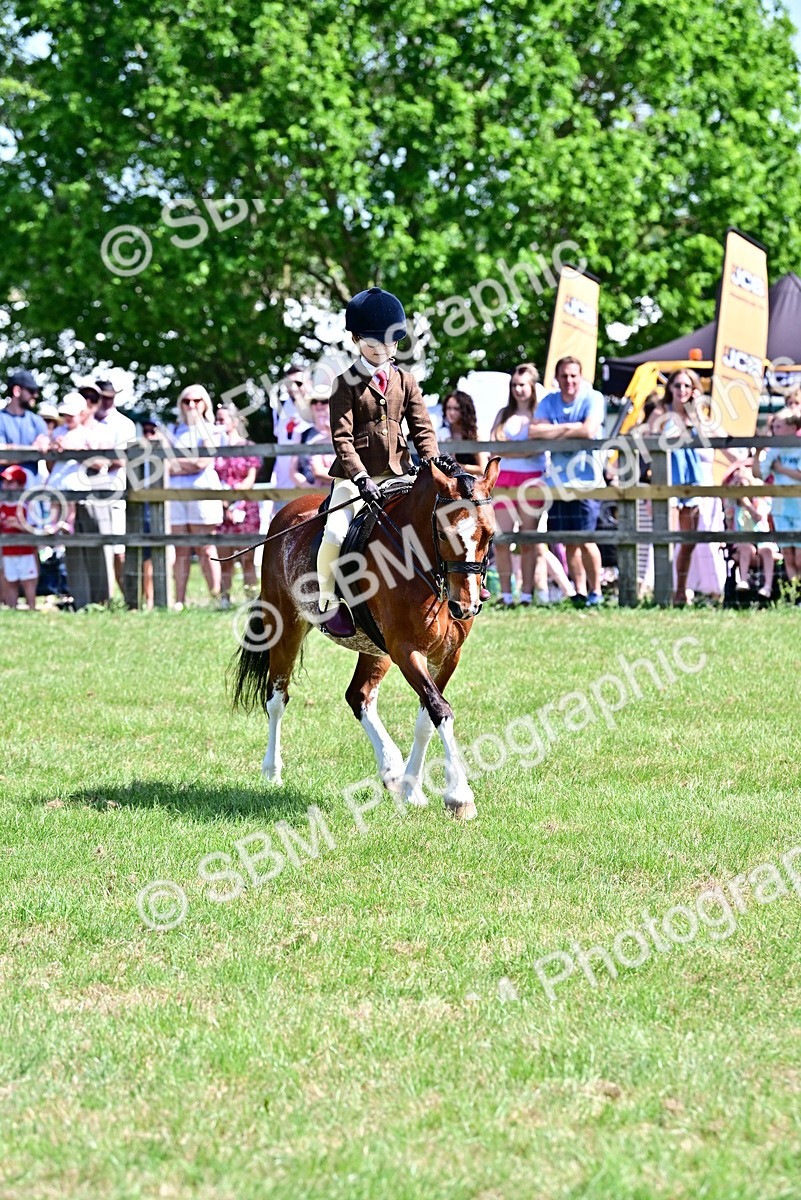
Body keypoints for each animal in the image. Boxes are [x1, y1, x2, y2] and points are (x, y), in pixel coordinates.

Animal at [231, 457, 501, 820]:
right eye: (444, 533)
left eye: (489, 534)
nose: (467, 606)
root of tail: (285, 513)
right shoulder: (406, 650)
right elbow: (440, 710)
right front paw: (459, 796)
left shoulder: (446, 655)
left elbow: (427, 716)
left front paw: (411, 790)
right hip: (286, 625)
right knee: (277, 698)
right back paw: (272, 772)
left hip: (375, 648)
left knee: (358, 696)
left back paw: (392, 770)